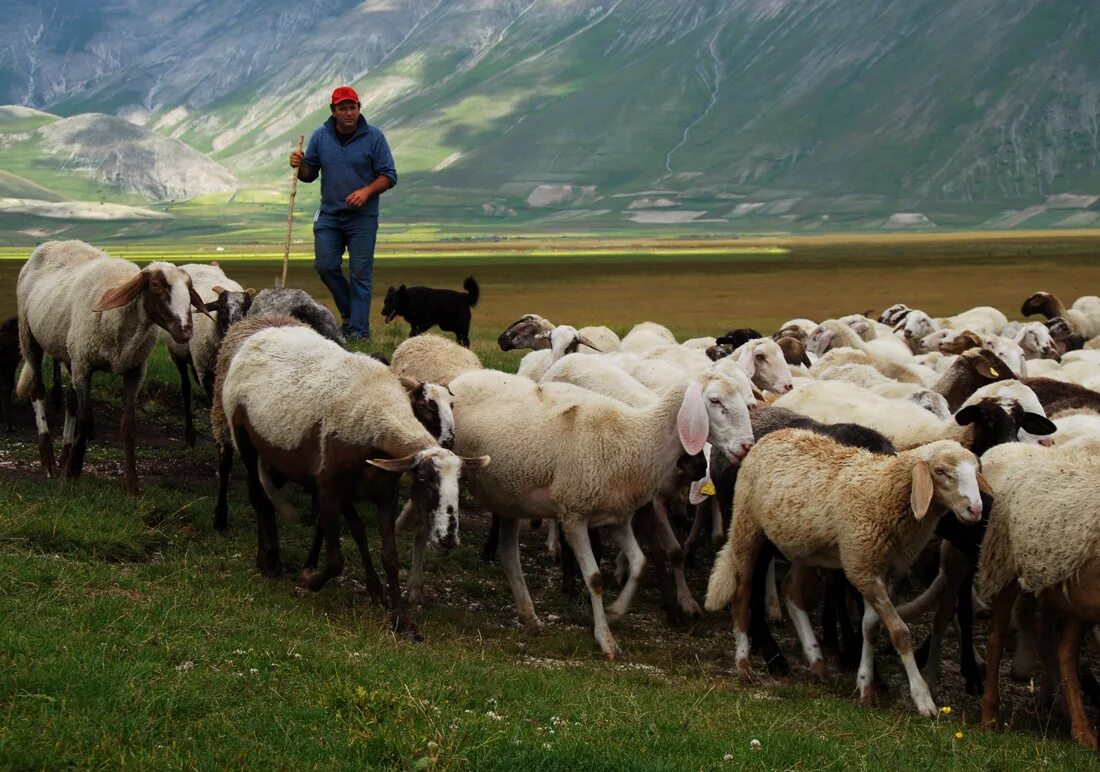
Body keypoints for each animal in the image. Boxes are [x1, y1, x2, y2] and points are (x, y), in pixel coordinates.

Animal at [16, 241, 207, 497]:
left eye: (189, 288)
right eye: (156, 285)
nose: (185, 330)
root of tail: (55, 243)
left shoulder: (134, 370)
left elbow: (128, 427)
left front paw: (132, 484)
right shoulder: (84, 366)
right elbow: (86, 420)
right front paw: (73, 471)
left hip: (69, 351)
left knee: (70, 403)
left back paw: (64, 456)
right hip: (29, 337)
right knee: (38, 392)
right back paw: (49, 462)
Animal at [708, 428, 985, 721]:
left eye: (976, 470)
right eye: (941, 471)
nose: (976, 510)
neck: (884, 491)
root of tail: (776, 434)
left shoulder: (879, 570)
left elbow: (870, 628)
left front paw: (866, 687)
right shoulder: (862, 567)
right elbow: (899, 632)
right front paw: (923, 699)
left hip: (804, 543)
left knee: (791, 589)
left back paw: (816, 660)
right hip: (747, 523)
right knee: (742, 592)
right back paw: (744, 664)